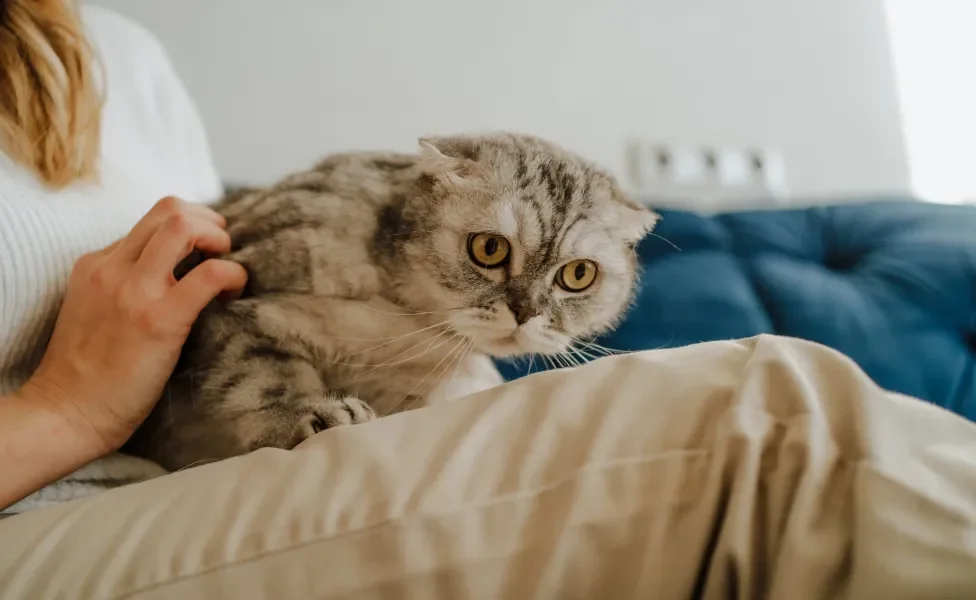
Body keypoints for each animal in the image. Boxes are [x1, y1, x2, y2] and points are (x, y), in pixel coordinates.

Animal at [120, 134, 656, 472]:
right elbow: (262, 376)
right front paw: (311, 417)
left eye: (577, 275)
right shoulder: (229, 301)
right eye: (489, 248)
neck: (407, 329)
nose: (526, 312)